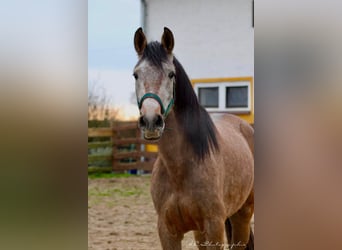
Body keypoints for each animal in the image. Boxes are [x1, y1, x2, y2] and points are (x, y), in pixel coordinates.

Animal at [134, 27, 254, 250]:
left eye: (171, 74)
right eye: (136, 74)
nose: (151, 120)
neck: (180, 168)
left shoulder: (214, 227)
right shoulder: (168, 232)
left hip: (242, 214)